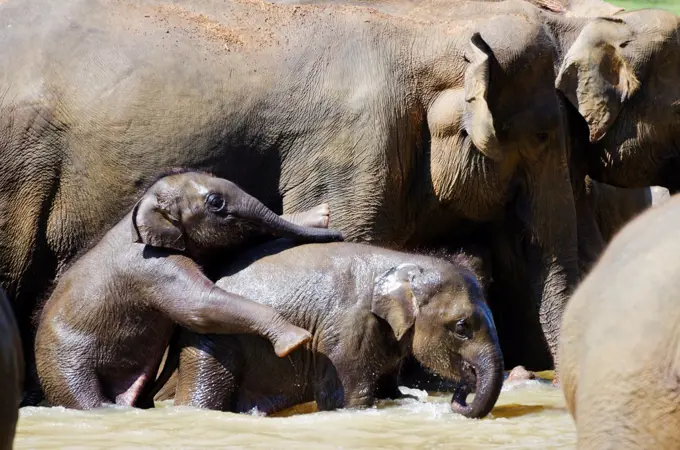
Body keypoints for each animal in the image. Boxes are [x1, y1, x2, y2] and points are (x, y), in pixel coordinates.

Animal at [34, 168, 342, 408]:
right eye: (216, 202)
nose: (338, 232)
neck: (141, 209)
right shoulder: (155, 266)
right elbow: (200, 307)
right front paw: (296, 339)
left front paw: (321, 215)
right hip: (65, 365)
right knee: (88, 399)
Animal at [163, 241, 504, 420]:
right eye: (461, 327)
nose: (460, 392)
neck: (404, 261)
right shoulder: (346, 330)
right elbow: (348, 400)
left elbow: (388, 390)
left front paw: (405, 399)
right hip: (213, 339)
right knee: (203, 394)